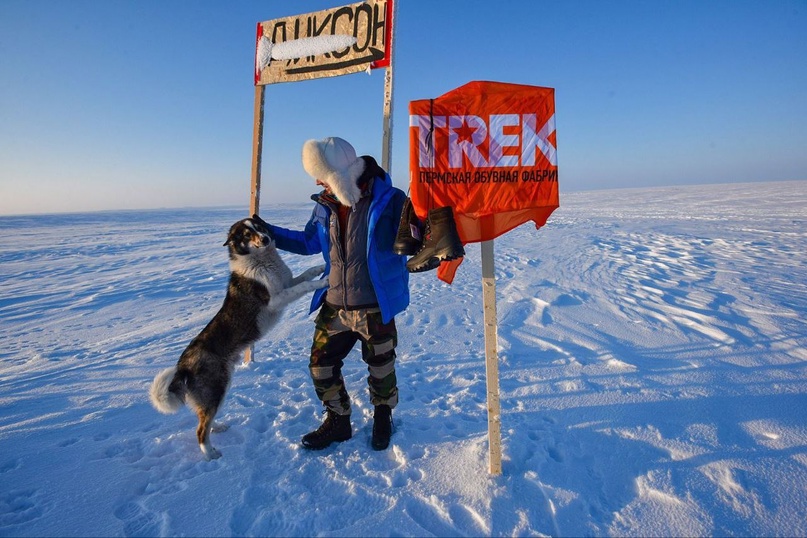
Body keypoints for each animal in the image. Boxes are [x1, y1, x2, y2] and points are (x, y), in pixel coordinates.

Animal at [150, 214, 326, 456]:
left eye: (259, 227)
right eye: (246, 235)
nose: (265, 238)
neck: (260, 260)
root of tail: (182, 366)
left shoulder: (286, 282)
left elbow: (305, 275)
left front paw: (322, 266)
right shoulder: (276, 299)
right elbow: (305, 285)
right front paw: (324, 281)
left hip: (218, 390)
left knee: (204, 419)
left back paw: (218, 428)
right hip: (216, 387)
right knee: (200, 430)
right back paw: (211, 454)